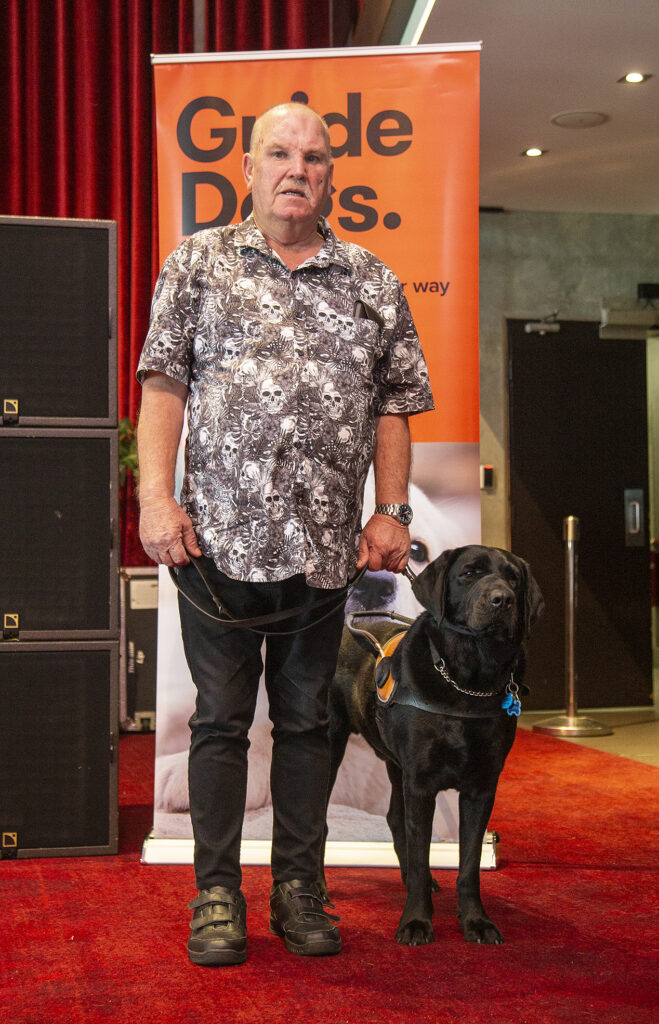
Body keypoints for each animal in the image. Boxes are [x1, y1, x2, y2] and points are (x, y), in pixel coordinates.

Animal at [319, 548, 540, 946]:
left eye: (514, 578)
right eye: (469, 574)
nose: (502, 599)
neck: (468, 682)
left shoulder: (481, 787)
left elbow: (469, 863)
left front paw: (476, 921)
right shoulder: (421, 783)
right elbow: (422, 852)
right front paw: (416, 922)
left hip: (395, 764)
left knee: (394, 817)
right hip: (331, 746)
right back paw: (318, 888)